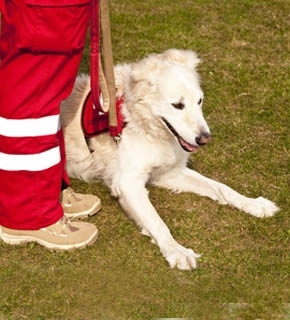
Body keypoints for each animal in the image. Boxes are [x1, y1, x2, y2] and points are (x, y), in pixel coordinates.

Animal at [60, 49, 278, 270]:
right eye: (177, 105)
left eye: (199, 101)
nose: (205, 139)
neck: (144, 125)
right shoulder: (128, 183)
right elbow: (157, 222)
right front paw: (176, 250)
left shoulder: (169, 173)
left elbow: (222, 188)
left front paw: (253, 204)